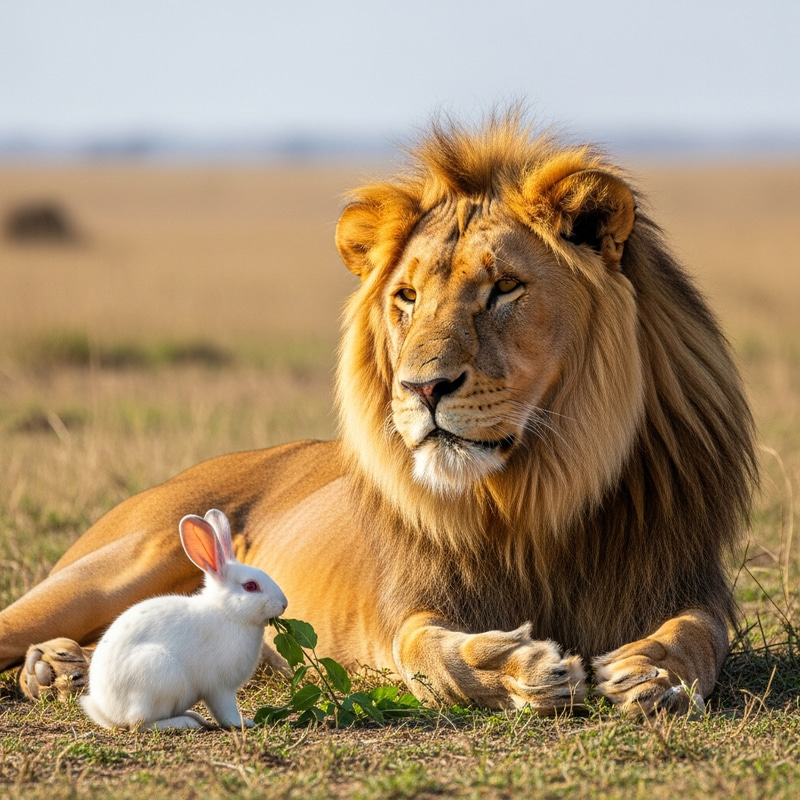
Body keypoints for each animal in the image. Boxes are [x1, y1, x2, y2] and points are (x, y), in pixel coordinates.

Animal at [79, 508, 288, 730]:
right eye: (250, 586)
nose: (284, 604)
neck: (226, 612)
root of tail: (107, 713)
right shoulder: (219, 688)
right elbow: (225, 711)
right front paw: (244, 723)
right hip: (159, 675)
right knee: (140, 723)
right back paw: (186, 722)